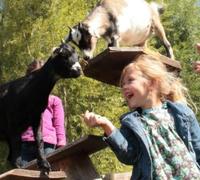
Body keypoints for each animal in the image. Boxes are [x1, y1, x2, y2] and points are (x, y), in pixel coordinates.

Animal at [0, 43, 82, 174]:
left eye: (77, 57)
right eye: (64, 56)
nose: (78, 69)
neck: (30, 90)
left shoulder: (37, 116)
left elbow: (39, 139)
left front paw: (44, 164)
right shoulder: (12, 122)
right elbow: (17, 147)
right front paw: (20, 167)